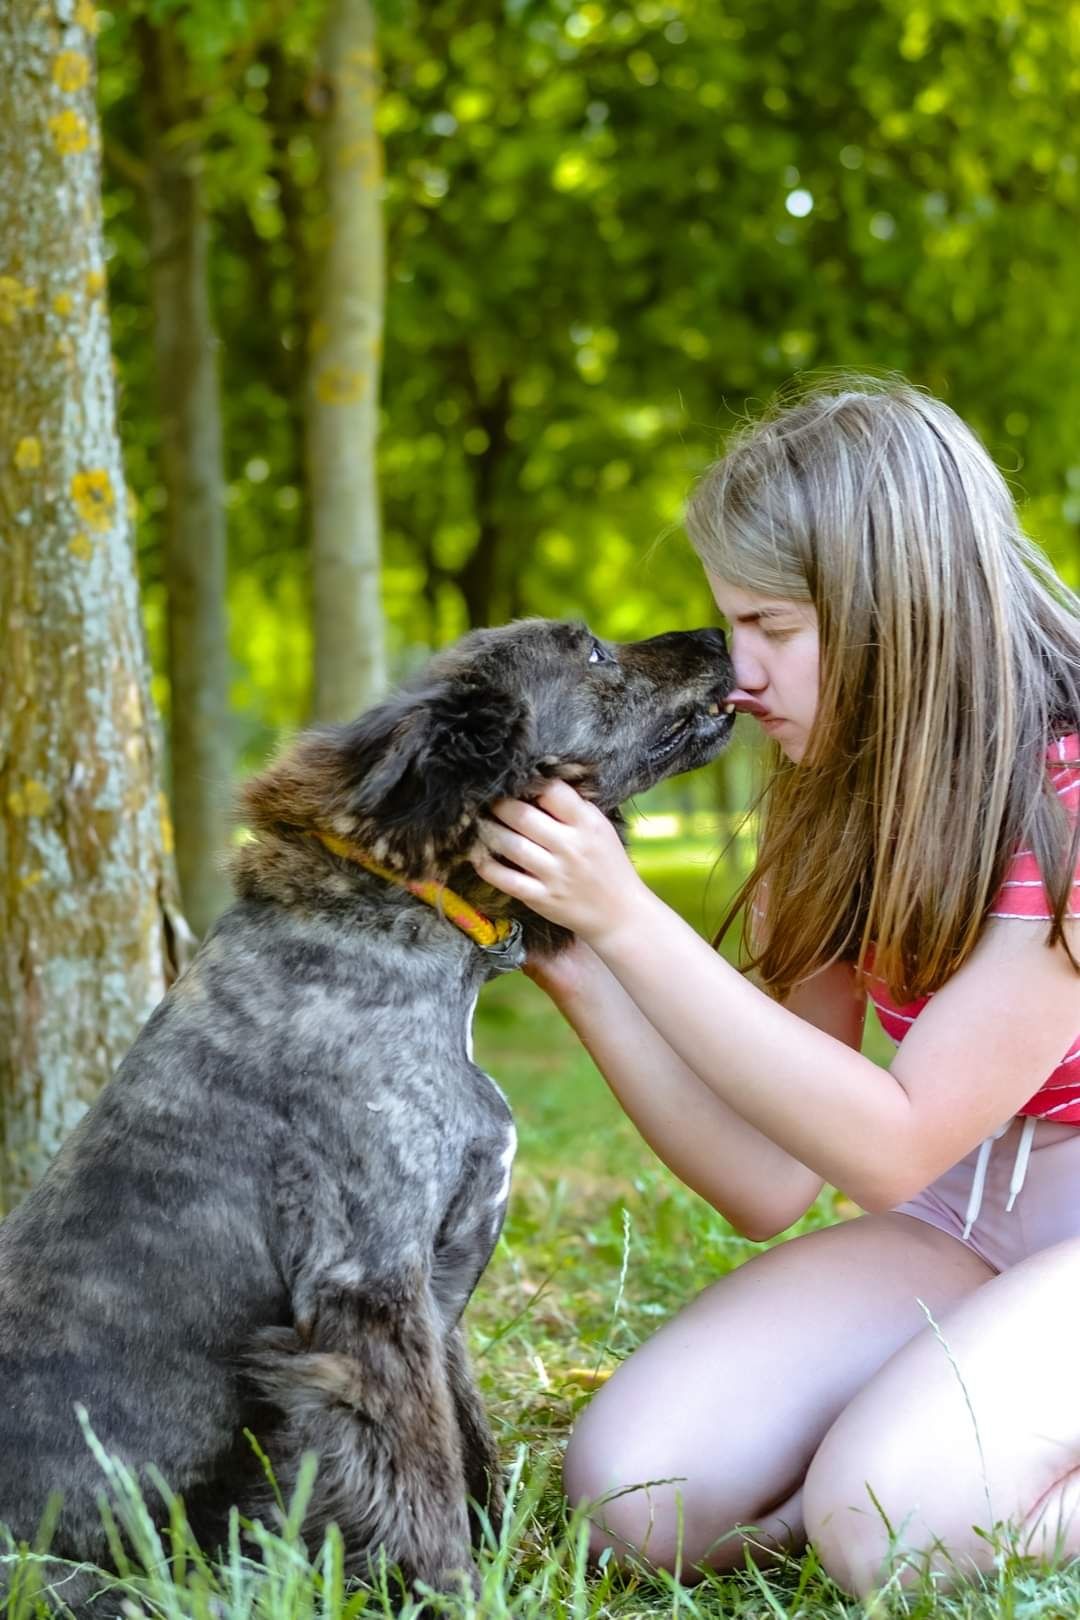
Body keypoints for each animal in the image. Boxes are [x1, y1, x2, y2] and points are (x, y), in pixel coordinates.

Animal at [0, 612, 735, 1600]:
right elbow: (417, 1474)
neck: (404, 930)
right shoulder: (369, 1290)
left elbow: (466, 1443)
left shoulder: (429, 1296)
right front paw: (454, 1591)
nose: (721, 635)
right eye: (587, 650)